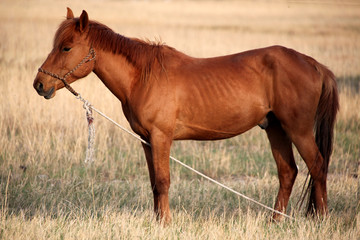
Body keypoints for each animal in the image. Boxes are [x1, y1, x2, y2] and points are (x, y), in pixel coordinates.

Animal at [33, 8, 338, 223]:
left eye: (66, 47)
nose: (39, 85)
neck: (143, 77)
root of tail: (313, 64)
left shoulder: (161, 137)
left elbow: (163, 181)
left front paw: (166, 223)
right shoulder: (146, 140)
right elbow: (154, 183)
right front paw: (157, 222)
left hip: (297, 129)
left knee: (317, 166)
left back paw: (321, 219)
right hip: (275, 128)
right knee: (288, 172)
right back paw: (275, 221)